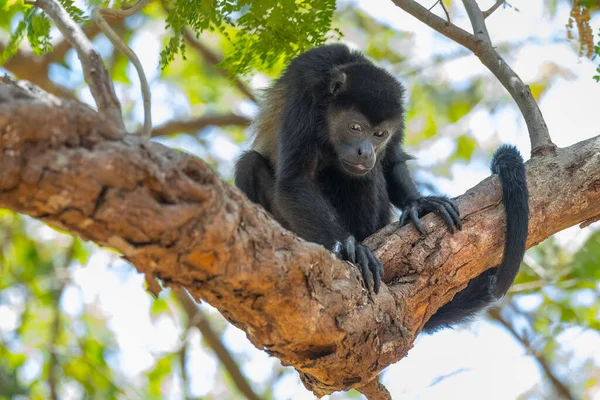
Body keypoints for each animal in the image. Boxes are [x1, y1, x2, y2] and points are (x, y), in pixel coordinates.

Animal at [234, 43, 528, 332]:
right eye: (355, 127)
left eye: (379, 134)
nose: (365, 152)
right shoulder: (305, 92)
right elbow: (295, 180)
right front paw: (349, 249)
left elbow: (391, 160)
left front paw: (419, 203)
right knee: (249, 164)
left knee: (366, 175)